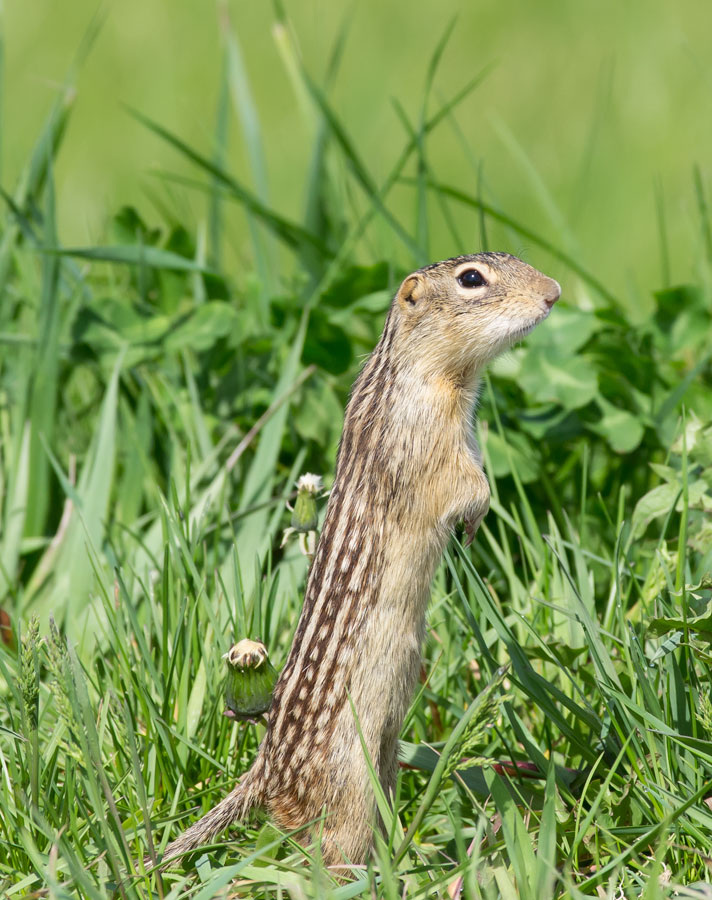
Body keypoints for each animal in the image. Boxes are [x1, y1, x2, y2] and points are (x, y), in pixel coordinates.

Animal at [152, 251, 560, 869]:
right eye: (471, 279)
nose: (554, 292)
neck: (417, 372)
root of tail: (263, 773)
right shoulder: (429, 443)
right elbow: (466, 484)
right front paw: (475, 518)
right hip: (350, 780)